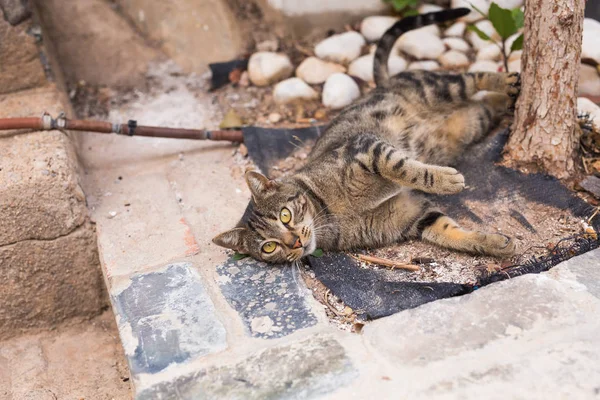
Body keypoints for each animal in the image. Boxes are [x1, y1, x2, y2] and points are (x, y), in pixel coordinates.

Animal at [212, 7, 520, 264]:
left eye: (285, 216)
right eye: (269, 247)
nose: (295, 242)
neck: (329, 213)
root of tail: (382, 83)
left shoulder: (366, 149)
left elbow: (405, 169)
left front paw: (445, 180)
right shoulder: (411, 215)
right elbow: (449, 231)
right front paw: (493, 243)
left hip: (436, 87)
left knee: (472, 78)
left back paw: (508, 80)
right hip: (472, 122)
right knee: (484, 104)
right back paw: (505, 101)